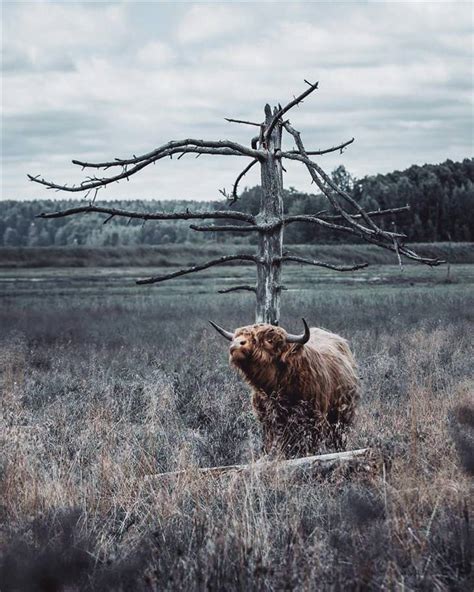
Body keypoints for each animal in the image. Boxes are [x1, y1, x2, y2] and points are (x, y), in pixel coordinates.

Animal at [211, 320, 360, 458]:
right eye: (237, 336)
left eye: (269, 340)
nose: (237, 343)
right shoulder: (268, 422)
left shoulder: (313, 419)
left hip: (342, 418)